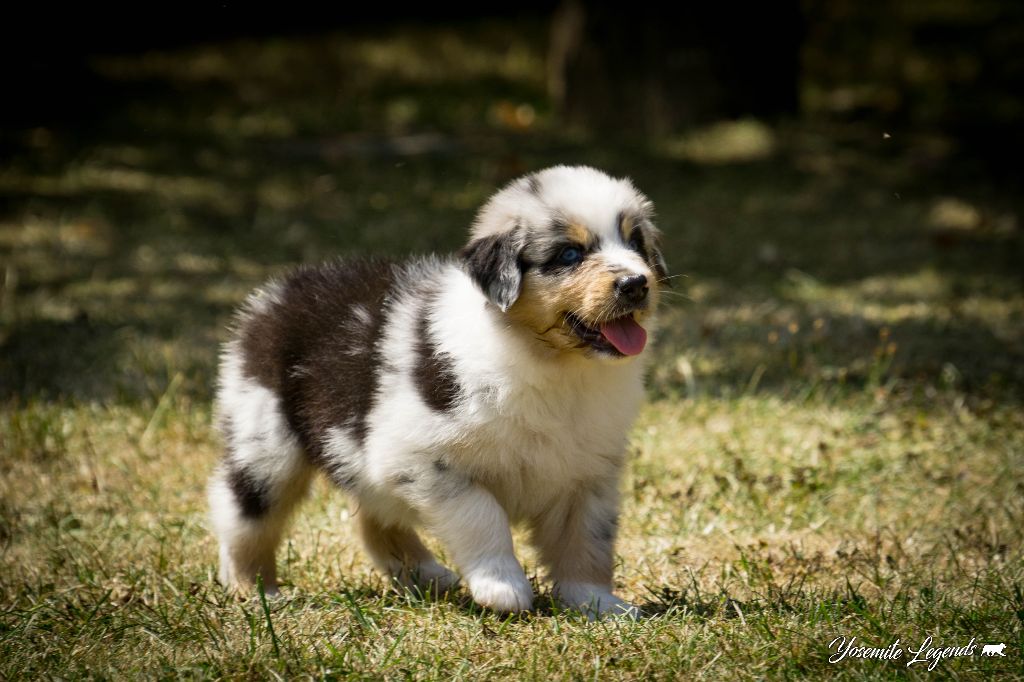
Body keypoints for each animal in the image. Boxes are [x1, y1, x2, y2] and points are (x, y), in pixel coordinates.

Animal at [209, 164, 671, 614]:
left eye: (635, 242)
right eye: (570, 254)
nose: (636, 284)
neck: (552, 364)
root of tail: (279, 289)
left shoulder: (588, 472)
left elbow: (587, 539)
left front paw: (598, 603)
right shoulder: (422, 457)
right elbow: (481, 514)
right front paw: (503, 588)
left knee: (373, 518)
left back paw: (426, 576)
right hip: (266, 443)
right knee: (242, 514)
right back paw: (255, 591)